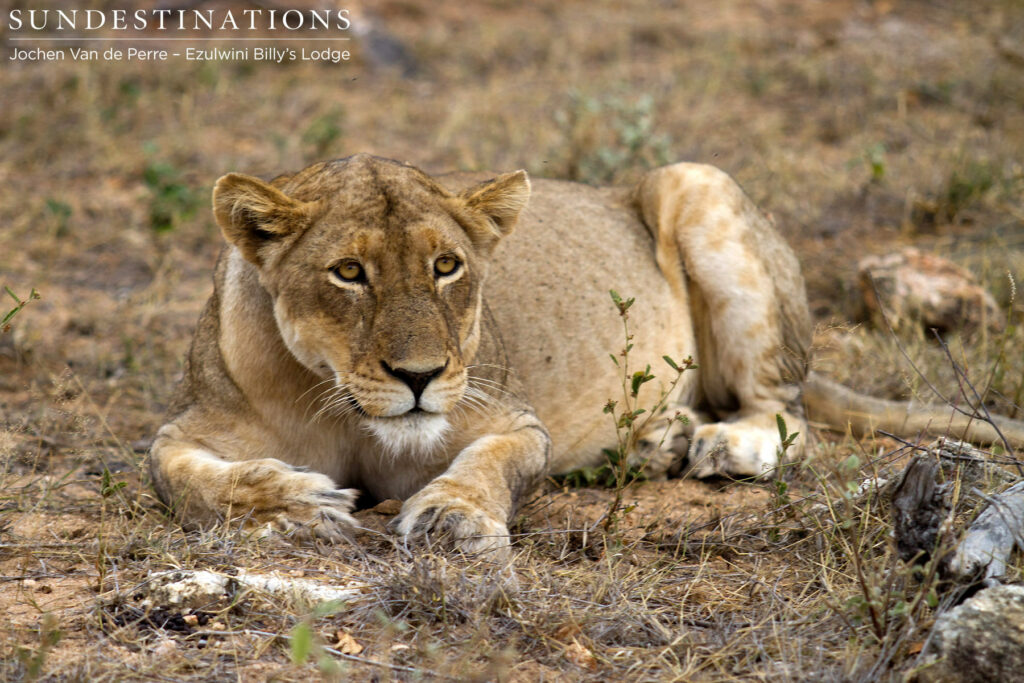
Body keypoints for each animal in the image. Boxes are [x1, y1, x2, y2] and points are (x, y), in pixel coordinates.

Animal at [149, 154, 1024, 553]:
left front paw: (453, 515)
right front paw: (298, 502)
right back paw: (658, 439)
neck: (344, 406)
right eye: (349, 273)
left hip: (694, 180)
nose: (420, 377)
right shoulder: (188, 426)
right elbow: (185, 479)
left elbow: (488, 466)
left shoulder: (508, 416)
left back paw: (718, 445)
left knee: (788, 413)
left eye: (447, 266)